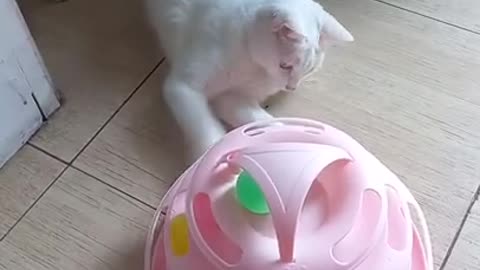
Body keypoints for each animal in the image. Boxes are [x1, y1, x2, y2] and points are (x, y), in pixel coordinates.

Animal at [145, 0, 352, 158]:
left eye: (309, 71)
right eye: (285, 66)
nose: (290, 87)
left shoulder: (230, 98)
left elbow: (264, 122)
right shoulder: (183, 87)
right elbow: (206, 130)